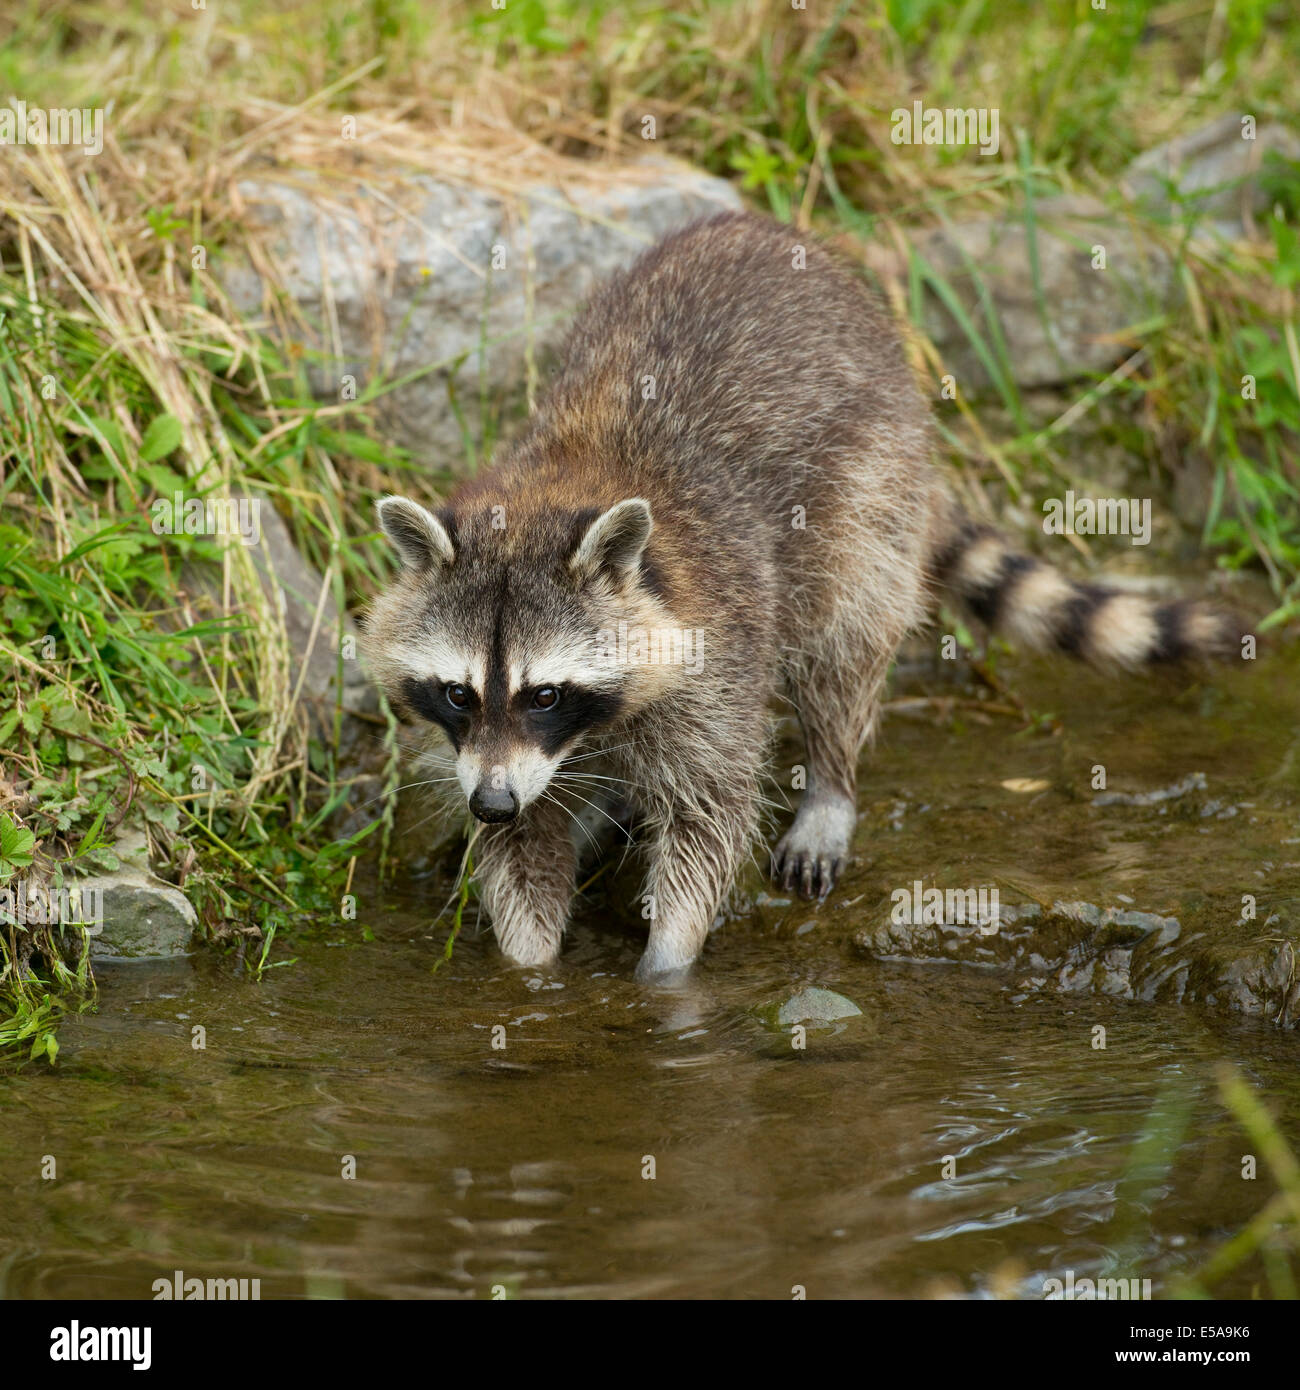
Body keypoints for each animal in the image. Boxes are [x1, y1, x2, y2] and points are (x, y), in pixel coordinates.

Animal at [364, 211, 1240, 984]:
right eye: (457, 693)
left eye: (545, 694)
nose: (490, 803)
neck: (556, 489)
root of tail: (789, 242)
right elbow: (525, 851)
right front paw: (528, 970)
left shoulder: (712, 654)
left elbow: (710, 817)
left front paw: (667, 965)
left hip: (870, 490)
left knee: (843, 645)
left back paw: (830, 781)